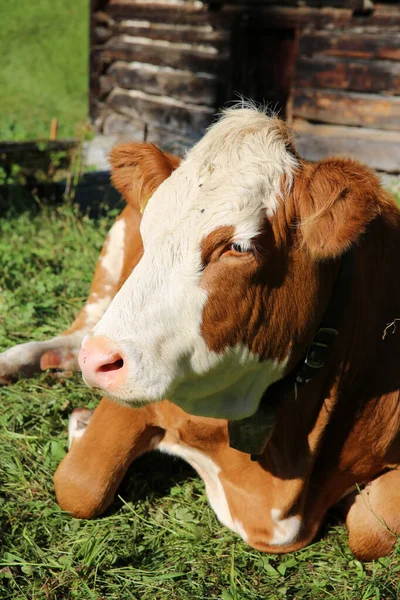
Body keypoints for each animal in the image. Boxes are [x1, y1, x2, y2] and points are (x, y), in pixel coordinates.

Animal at [0, 105, 400, 560]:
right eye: (148, 230)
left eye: (238, 247)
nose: (99, 362)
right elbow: (79, 487)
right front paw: (81, 425)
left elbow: (374, 528)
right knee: (81, 328)